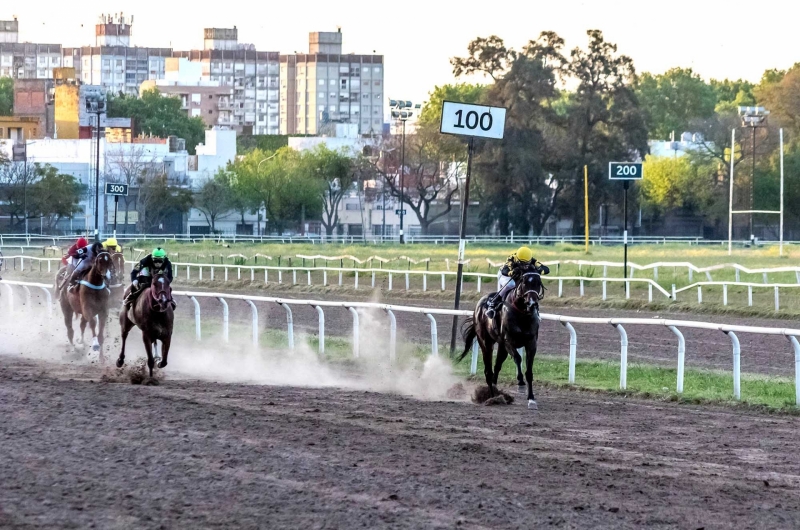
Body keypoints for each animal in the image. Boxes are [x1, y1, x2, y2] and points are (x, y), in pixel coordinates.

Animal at [456, 270, 544, 410]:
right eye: (524, 283)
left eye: (538, 283)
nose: (532, 304)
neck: (522, 314)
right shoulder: (509, 341)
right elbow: (518, 358)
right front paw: (520, 383)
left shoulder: (531, 343)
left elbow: (529, 372)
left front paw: (531, 399)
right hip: (486, 343)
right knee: (488, 371)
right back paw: (493, 397)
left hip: (502, 347)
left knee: (496, 367)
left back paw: (497, 393)